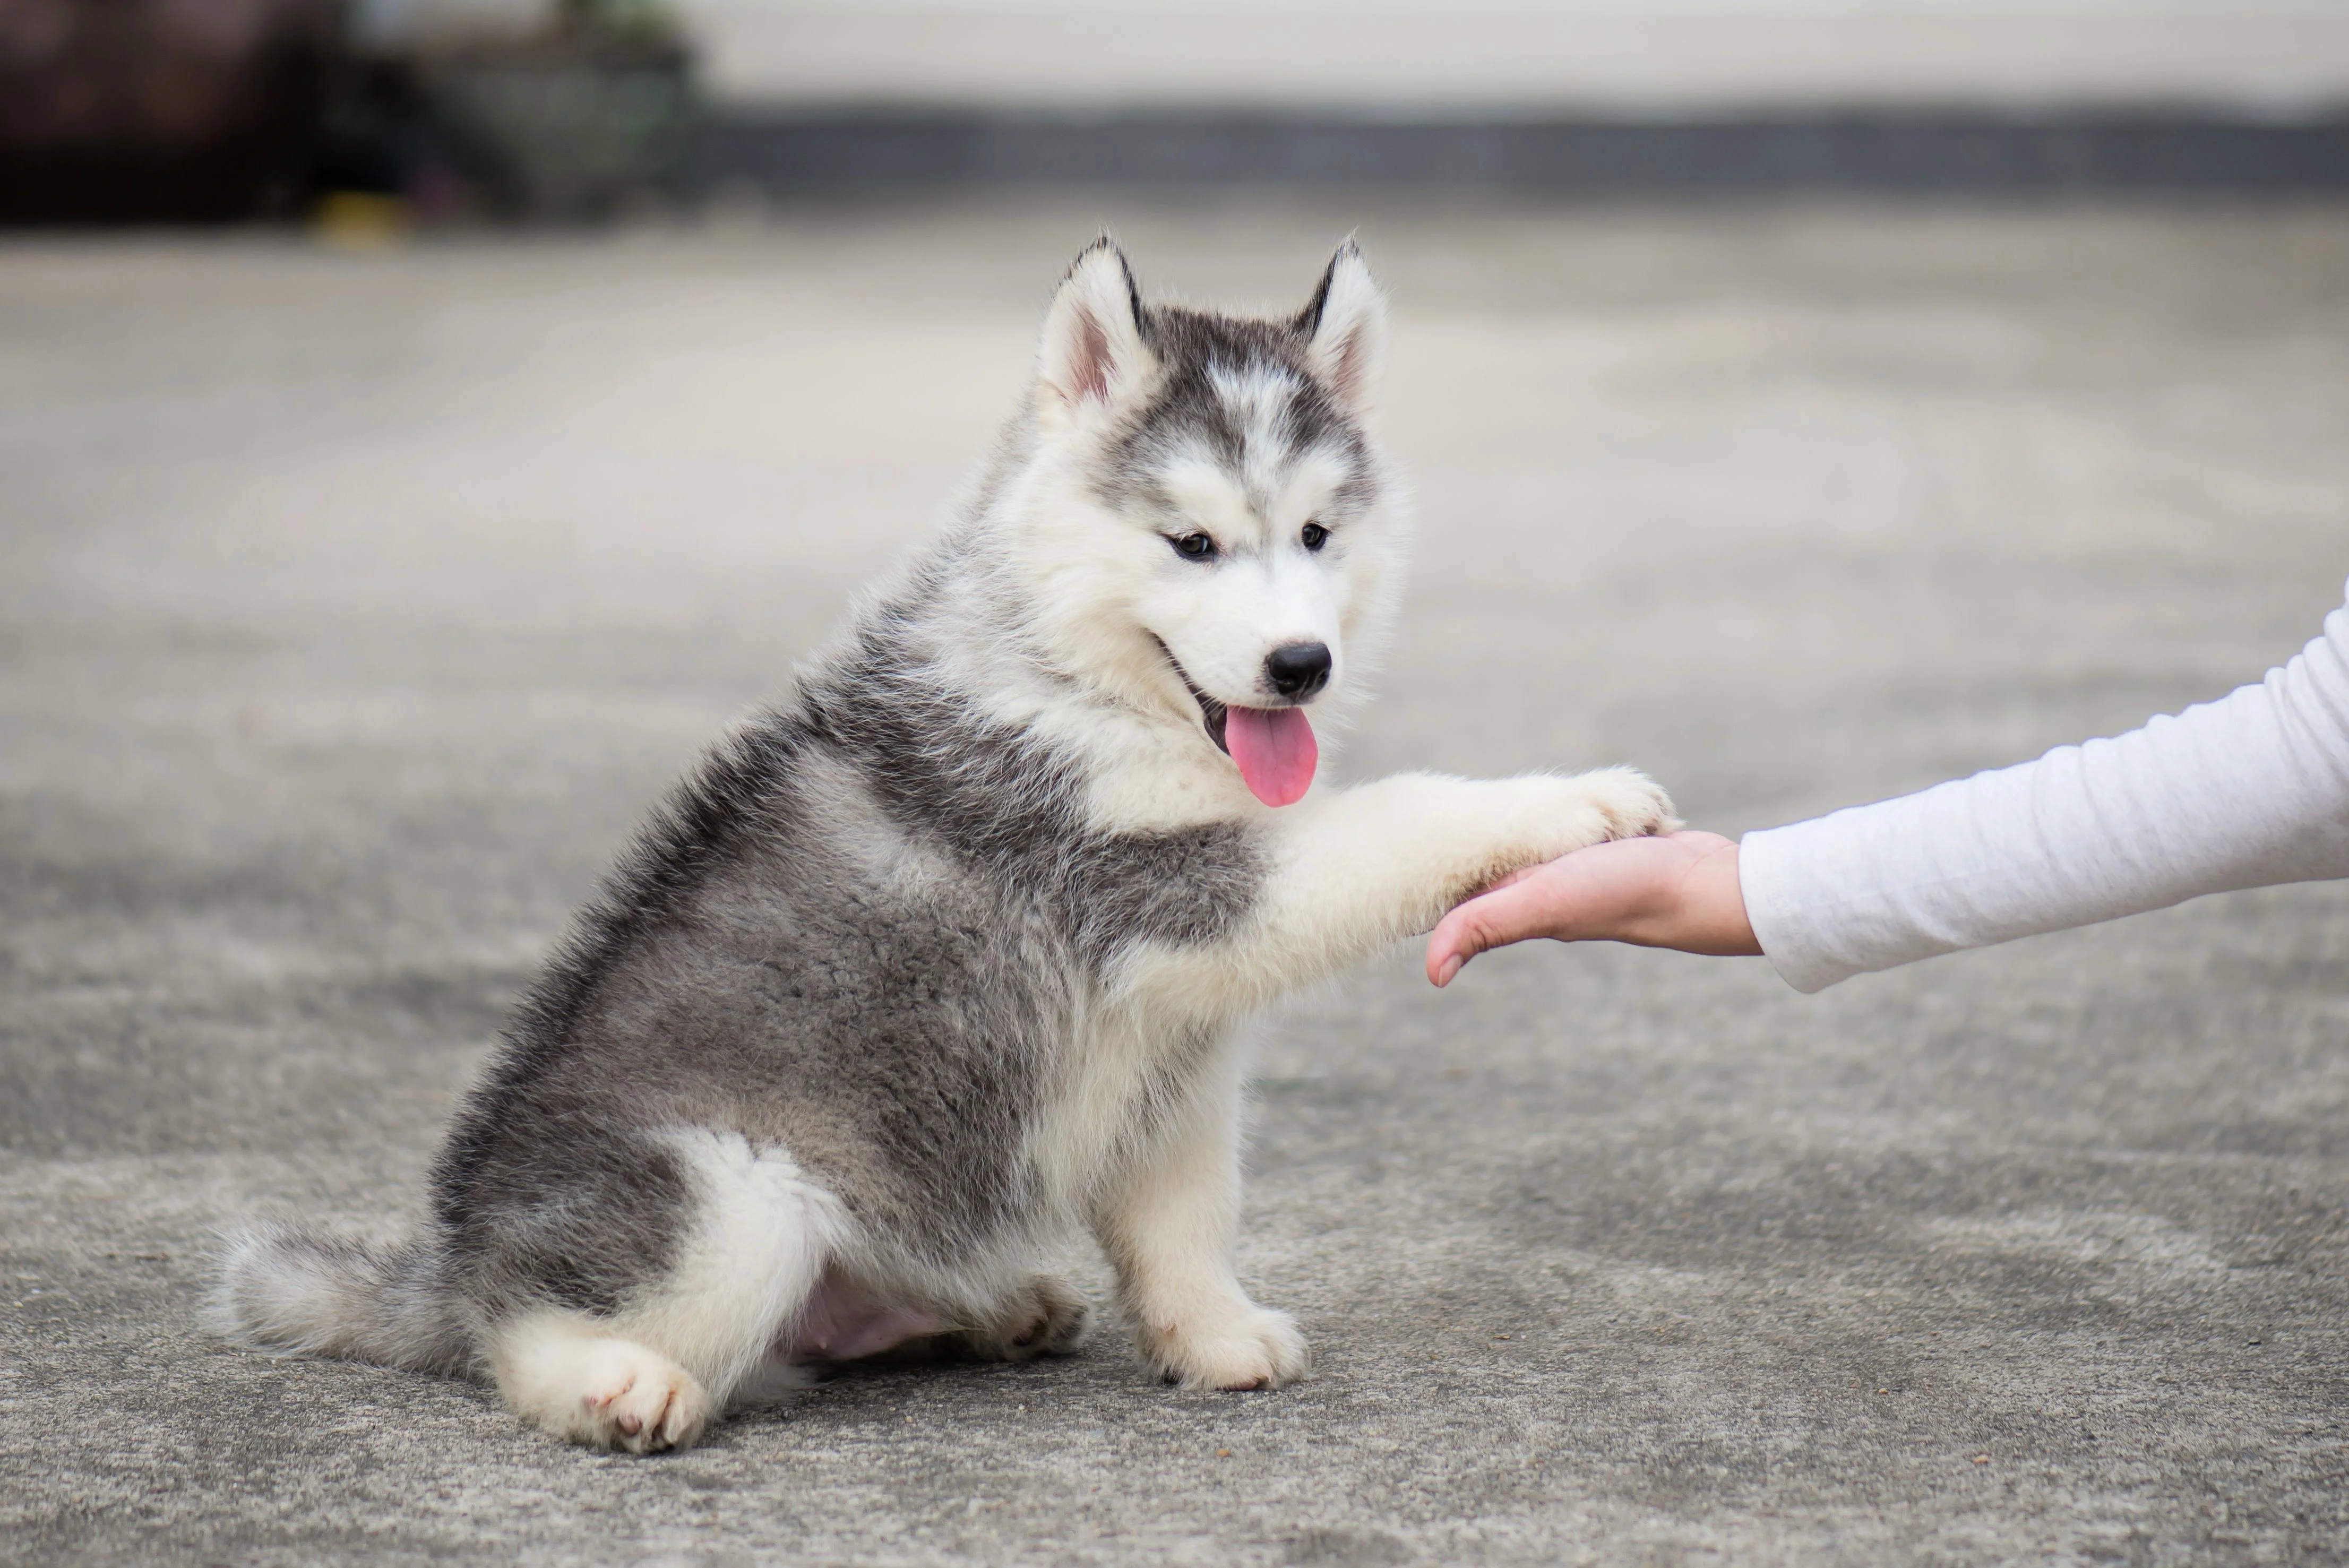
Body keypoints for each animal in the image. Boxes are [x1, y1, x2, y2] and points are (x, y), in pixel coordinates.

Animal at [216, 239, 1672, 1455]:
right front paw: (1572, 802)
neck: (1086, 686)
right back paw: (610, 1382)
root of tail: (454, 1257)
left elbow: (1184, 1211)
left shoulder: (1176, 1055)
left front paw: (1211, 1334)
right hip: (734, 1196)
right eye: (1192, 542)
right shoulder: (1150, 880)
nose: (1299, 665)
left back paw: (996, 1308)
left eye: (1319, 533)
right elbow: (1397, 812)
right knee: (528, 1333)